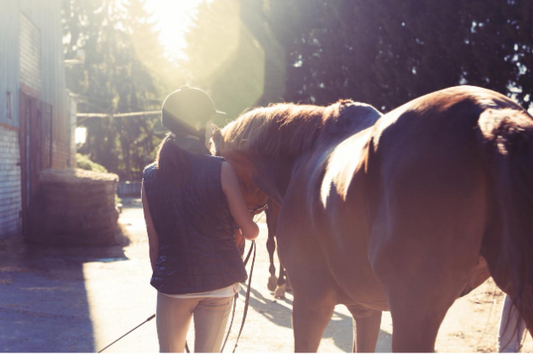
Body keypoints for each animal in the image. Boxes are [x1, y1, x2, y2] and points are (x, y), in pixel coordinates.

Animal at [211, 87, 532, 354]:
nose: (234, 242)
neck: (305, 152)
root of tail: (486, 110)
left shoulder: (310, 304)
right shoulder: (365, 310)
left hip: (413, 315)